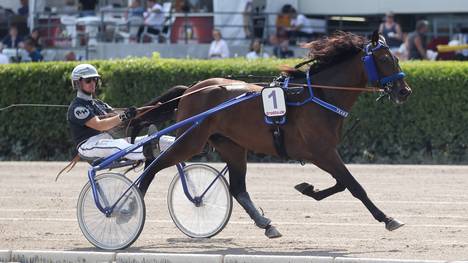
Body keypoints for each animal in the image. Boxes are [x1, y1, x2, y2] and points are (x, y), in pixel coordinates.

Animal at [130, 31, 412, 239]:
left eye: (396, 59)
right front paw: (387, 218)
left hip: (231, 146)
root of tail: (191, 89)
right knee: (153, 165)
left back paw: (266, 224)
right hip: (190, 141)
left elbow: (342, 184)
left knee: (238, 189)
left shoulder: (325, 153)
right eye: (385, 59)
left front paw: (307, 188)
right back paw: (129, 205)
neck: (319, 96)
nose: (404, 91)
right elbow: (354, 186)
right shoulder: (322, 153)